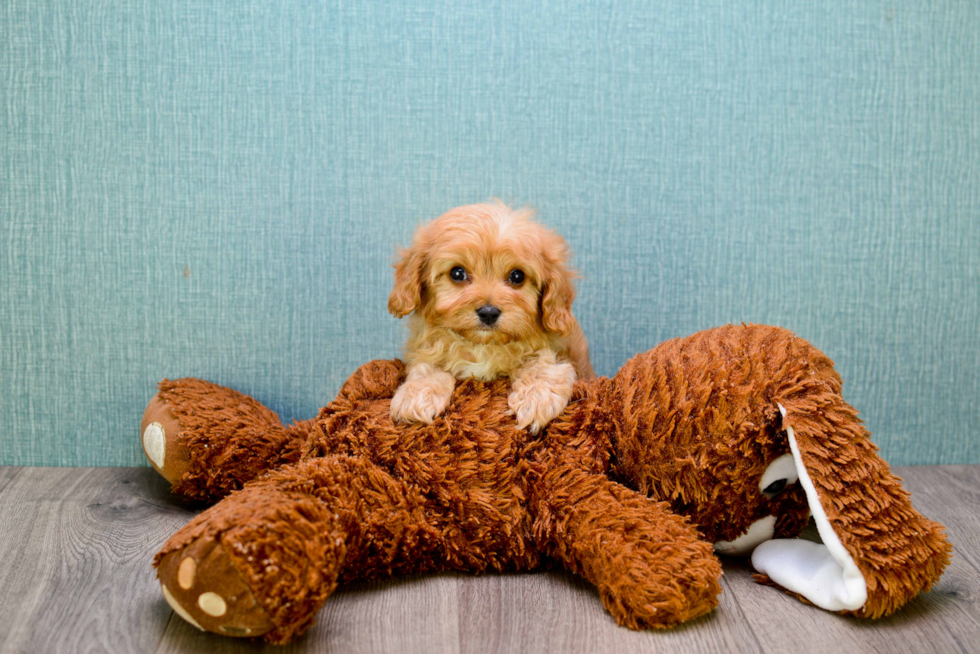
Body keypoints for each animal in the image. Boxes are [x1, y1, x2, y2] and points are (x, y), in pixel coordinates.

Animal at [386, 202, 592, 434]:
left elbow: (542, 363)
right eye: (457, 273)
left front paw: (537, 398)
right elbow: (428, 367)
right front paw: (416, 395)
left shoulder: (559, 353)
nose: (489, 312)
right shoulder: (427, 347)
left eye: (517, 276)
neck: (483, 346)